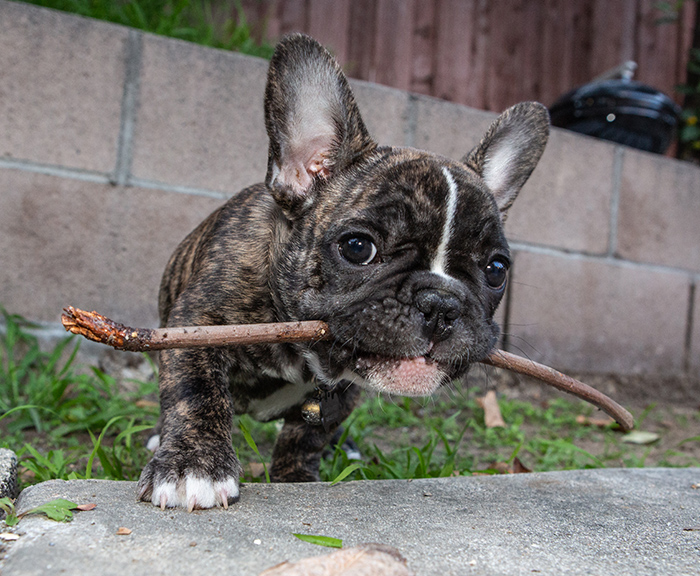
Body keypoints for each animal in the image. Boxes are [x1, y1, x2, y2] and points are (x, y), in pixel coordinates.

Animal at [137, 32, 548, 508]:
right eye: (358, 247)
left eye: (497, 269)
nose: (442, 303)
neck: (303, 351)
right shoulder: (197, 325)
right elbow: (195, 391)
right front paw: (193, 466)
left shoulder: (341, 395)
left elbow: (305, 436)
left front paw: (296, 477)